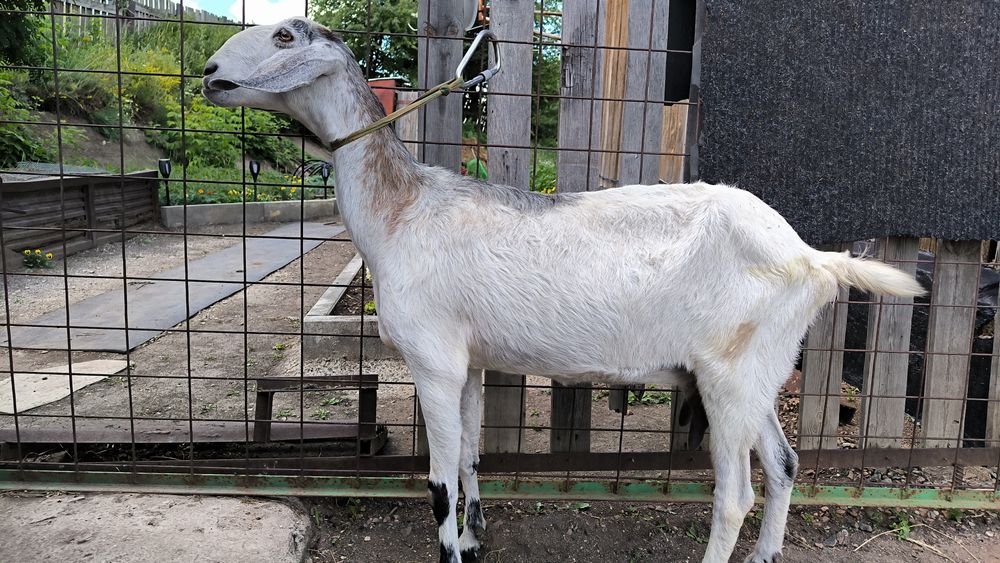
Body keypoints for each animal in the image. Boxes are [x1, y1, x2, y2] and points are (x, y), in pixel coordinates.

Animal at [203, 18, 923, 563]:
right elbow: (470, 460)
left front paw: (453, 549)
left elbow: (437, 483)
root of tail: (810, 257)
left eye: (283, 35)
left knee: (734, 494)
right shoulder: (468, 362)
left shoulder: (432, 360)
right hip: (757, 373)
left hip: (729, 376)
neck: (401, 213)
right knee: (785, 463)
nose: (209, 73)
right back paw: (766, 555)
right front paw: (476, 536)